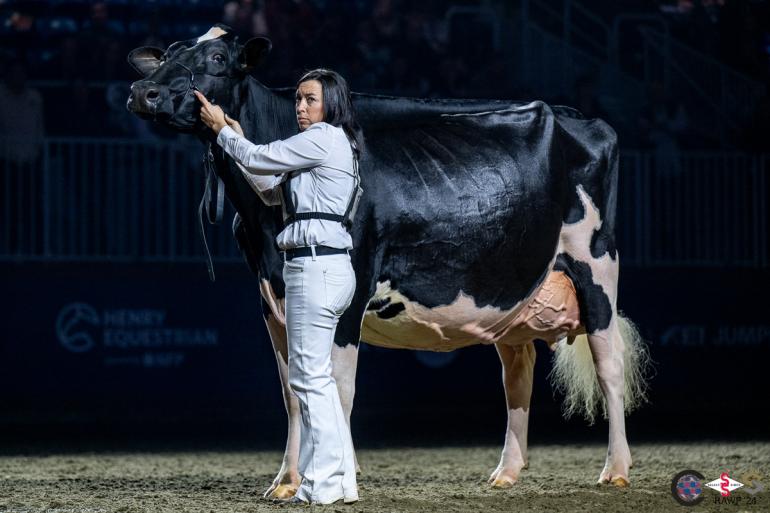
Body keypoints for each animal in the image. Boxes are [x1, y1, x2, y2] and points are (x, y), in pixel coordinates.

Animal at [126, 26, 648, 498]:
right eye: (167, 54)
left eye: (217, 58)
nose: (141, 92)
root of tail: (578, 116)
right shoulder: (272, 296)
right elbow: (293, 393)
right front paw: (288, 481)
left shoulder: (352, 292)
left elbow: (337, 386)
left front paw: (335, 477)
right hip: (509, 288)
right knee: (516, 371)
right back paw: (507, 472)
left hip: (597, 268)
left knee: (609, 364)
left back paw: (616, 470)